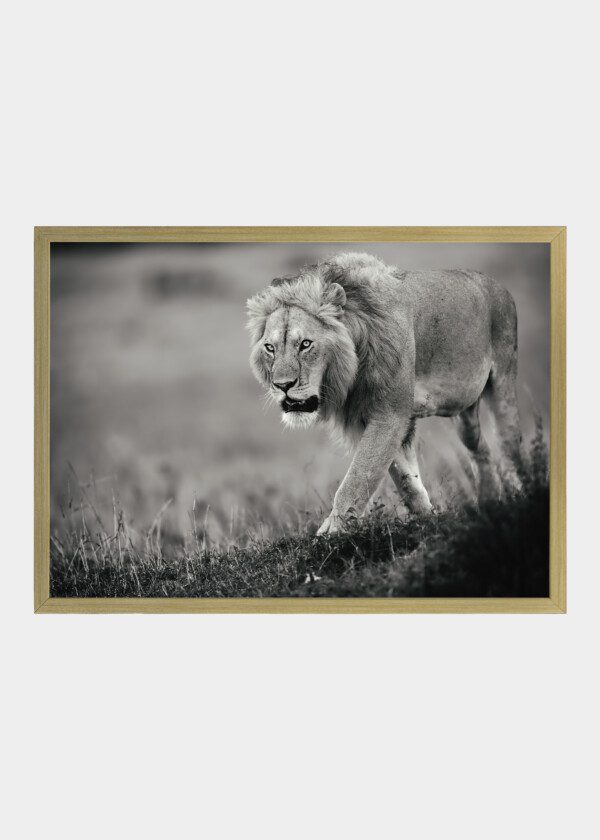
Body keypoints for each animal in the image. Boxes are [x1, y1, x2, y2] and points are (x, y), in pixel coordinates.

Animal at [247, 253, 521, 535]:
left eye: (305, 344)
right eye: (270, 348)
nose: (282, 385)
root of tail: (497, 284)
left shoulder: (390, 414)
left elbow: (358, 476)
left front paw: (332, 532)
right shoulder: (365, 417)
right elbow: (403, 478)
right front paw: (429, 518)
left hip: (503, 379)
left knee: (509, 444)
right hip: (465, 411)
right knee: (480, 449)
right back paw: (489, 504)